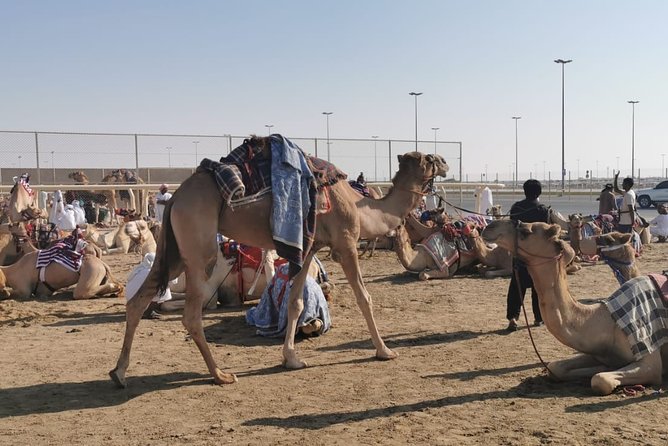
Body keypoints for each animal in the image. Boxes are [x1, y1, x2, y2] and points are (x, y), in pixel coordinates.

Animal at [109, 136, 448, 388]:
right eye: (428, 158)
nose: (445, 162)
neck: (360, 205)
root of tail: (176, 197)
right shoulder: (346, 243)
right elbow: (364, 297)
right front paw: (385, 351)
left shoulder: (309, 246)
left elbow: (295, 302)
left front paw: (292, 359)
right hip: (199, 249)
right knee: (192, 314)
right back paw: (220, 375)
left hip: (175, 251)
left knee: (139, 300)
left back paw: (119, 373)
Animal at [482, 220, 666, 395]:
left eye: (526, 231)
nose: (489, 227)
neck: (606, 322)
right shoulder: (597, 353)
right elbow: (555, 368)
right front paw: (604, 367)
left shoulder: (650, 360)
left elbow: (600, 380)